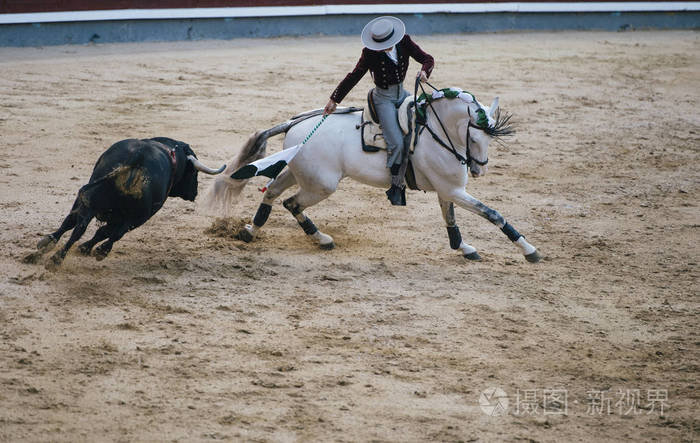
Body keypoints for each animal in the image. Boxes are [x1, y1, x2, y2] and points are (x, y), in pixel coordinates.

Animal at [33, 137, 224, 268]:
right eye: (193, 173)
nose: (194, 193)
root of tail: (136, 158)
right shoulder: (140, 216)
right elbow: (108, 233)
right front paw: (88, 249)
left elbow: (95, 230)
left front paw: (83, 248)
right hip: (137, 216)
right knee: (111, 232)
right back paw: (96, 252)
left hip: (88, 200)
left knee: (75, 225)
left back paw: (47, 251)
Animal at [201, 89, 540, 264]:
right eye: (475, 136)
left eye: (490, 138)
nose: (480, 168)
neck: (434, 130)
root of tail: (296, 123)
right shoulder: (453, 189)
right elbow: (492, 214)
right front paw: (529, 251)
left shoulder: (448, 191)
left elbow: (451, 221)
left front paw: (465, 248)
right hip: (322, 184)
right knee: (291, 203)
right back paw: (322, 239)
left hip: (299, 172)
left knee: (272, 192)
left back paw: (250, 231)